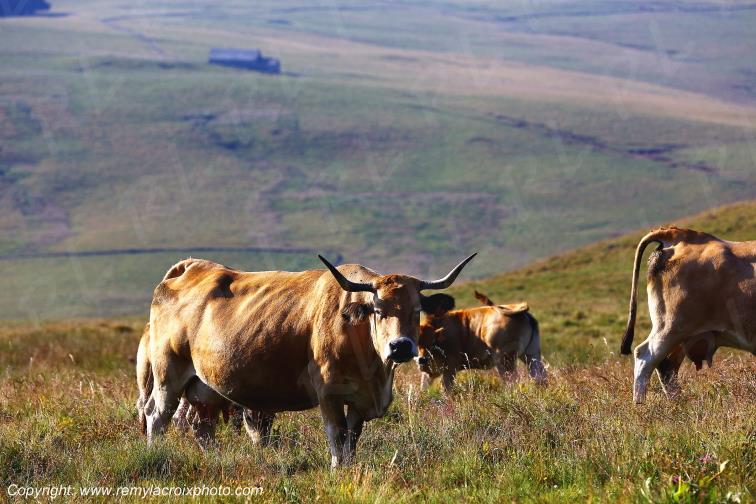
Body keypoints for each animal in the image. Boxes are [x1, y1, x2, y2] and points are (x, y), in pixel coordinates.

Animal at [142, 253, 475, 467]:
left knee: (201, 426)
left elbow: (352, 439)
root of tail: (193, 267)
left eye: (416, 310)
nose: (401, 347)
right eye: (378, 311)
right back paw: (156, 455)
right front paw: (337, 472)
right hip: (168, 376)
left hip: (205, 386)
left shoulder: (359, 400)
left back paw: (216, 460)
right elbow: (337, 436)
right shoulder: (328, 393)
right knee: (157, 417)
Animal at [416, 290, 546, 392]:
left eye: (433, 342)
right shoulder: (429, 373)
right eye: (418, 344)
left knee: (513, 382)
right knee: (540, 377)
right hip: (531, 354)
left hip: (505, 360)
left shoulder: (450, 369)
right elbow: (424, 388)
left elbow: (447, 390)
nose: (422, 360)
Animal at [620, 226, 756, 403]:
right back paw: (640, 403)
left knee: (666, 367)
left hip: (683, 336)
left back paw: (678, 402)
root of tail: (679, 234)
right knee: (645, 356)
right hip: (670, 327)